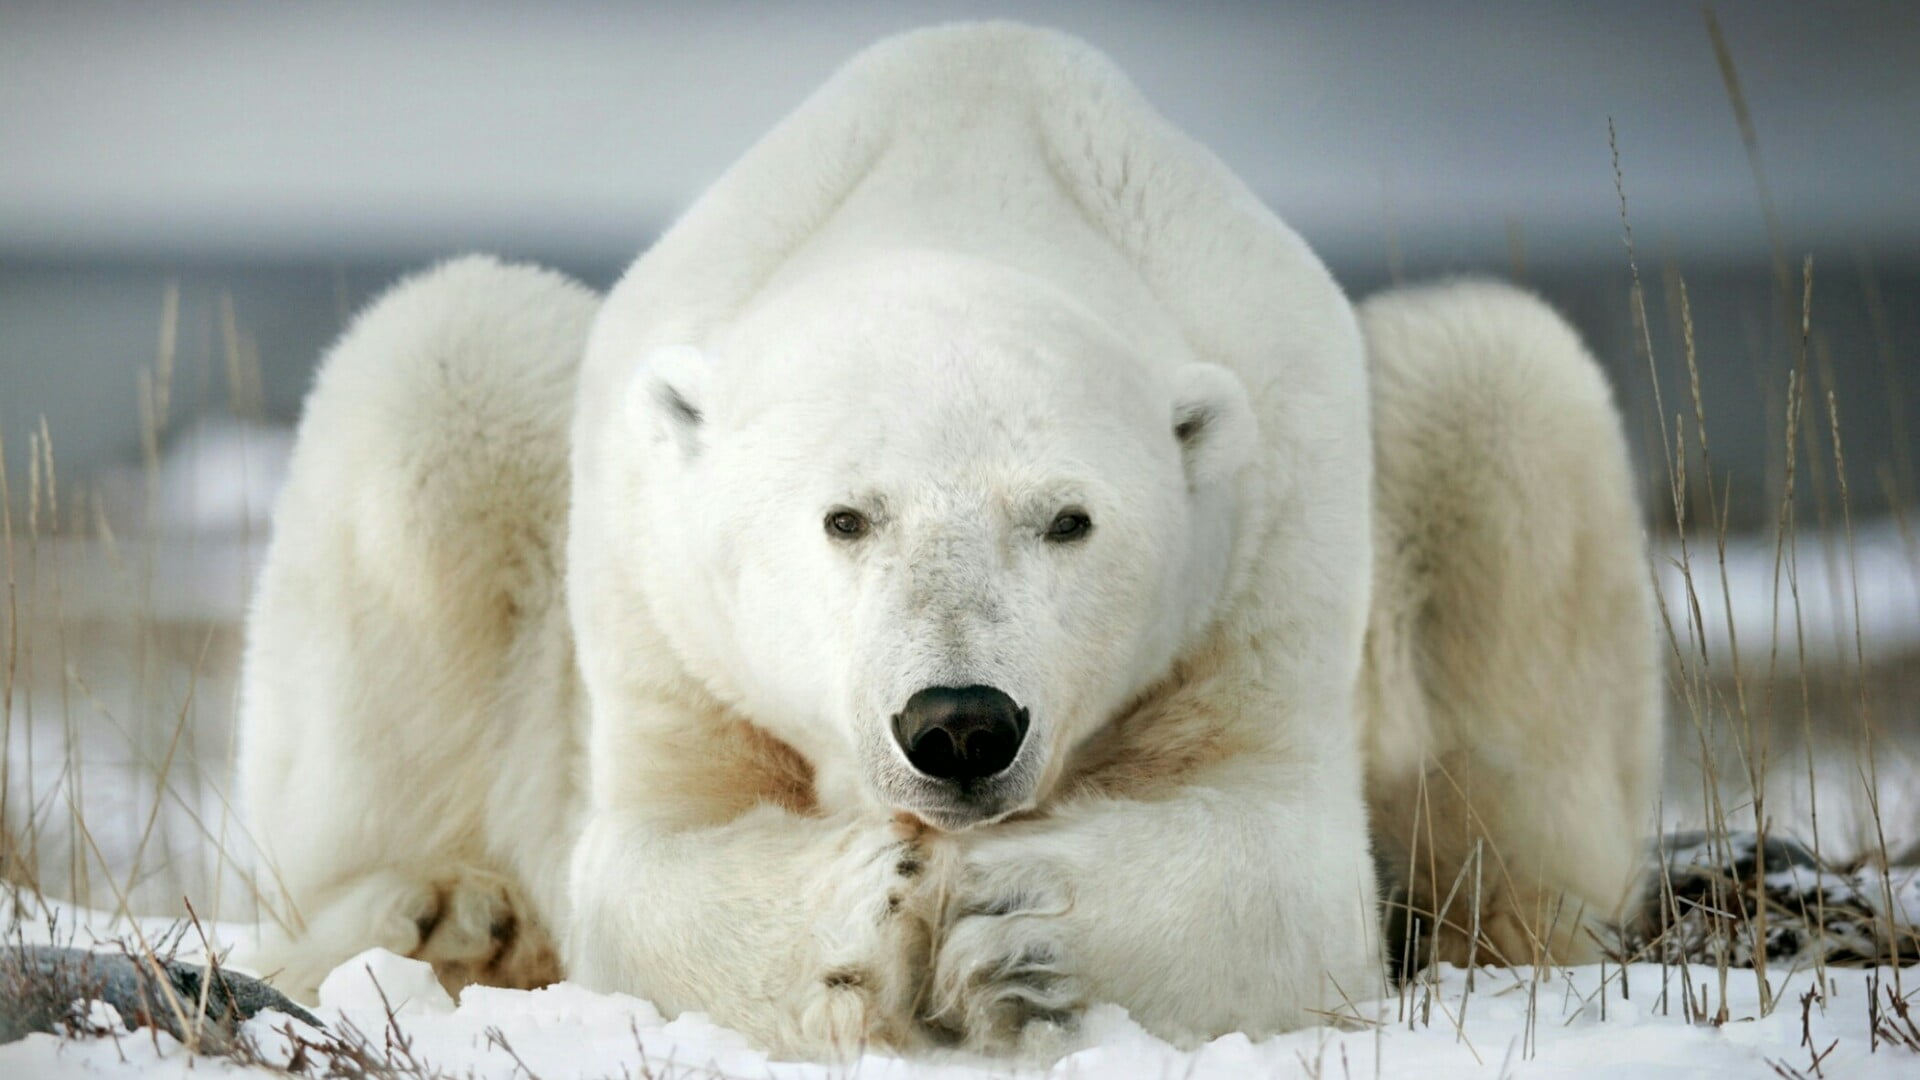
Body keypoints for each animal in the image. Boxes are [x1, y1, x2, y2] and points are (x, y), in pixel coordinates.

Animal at [235, 22, 1660, 1060]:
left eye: (1069, 519)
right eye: (845, 516)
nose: (961, 723)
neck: (965, 176)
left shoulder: (1271, 533)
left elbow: (1285, 860)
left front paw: (1012, 921)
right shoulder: (660, 599)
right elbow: (648, 859)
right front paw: (869, 912)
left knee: (1504, 396)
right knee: (436, 369)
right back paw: (444, 915)